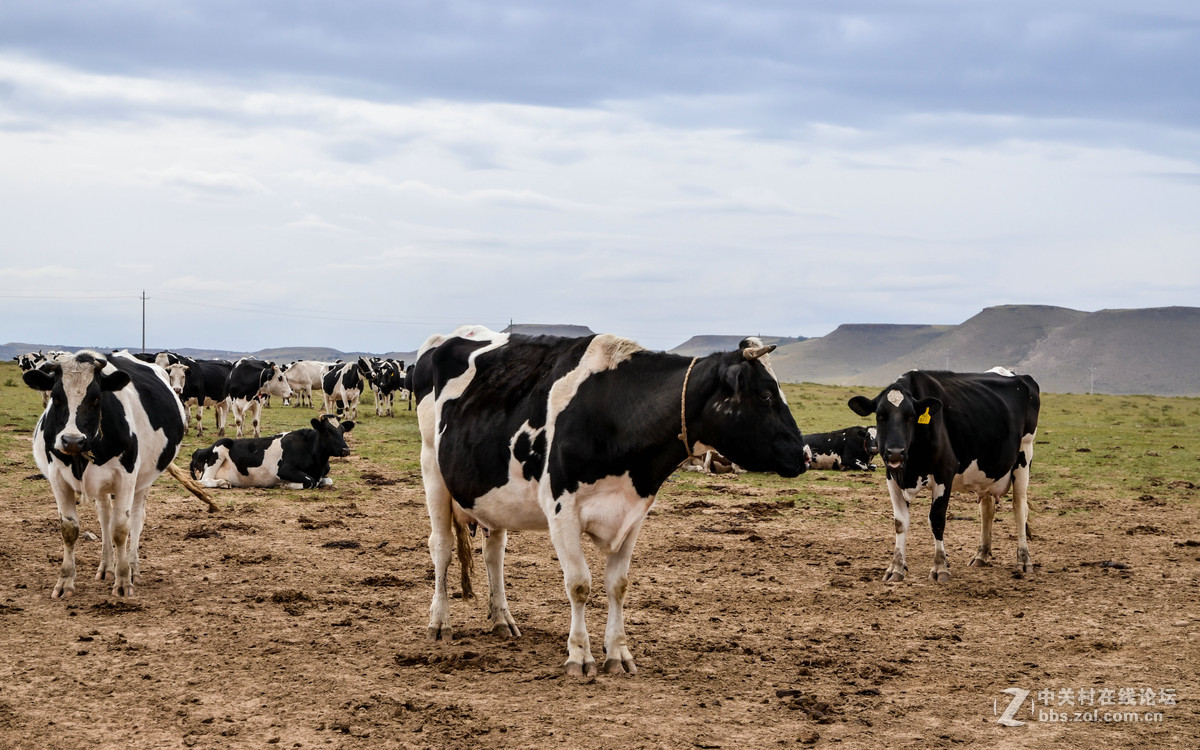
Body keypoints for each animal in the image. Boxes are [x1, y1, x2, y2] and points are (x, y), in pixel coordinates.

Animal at [23, 350, 216, 597]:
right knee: (105, 517)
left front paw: (123, 580)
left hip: (143, 481)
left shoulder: (126, 478)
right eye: (56, 398)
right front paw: (65, 582)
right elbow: (70, 529)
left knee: (135, 518)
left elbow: (120, 530)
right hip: (102, 487)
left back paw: (133, 568)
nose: (72, 440)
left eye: (96, 398)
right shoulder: (58, 479)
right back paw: (106, 567)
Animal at [189, 412, 352, 489]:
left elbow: (328, 481)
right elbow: (311, 481)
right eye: (328, 432)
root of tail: (200, 450)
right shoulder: (284, 469)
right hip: (220, 447)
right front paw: (284, 485)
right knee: (204, 481)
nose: (346, 450)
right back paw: (222, 483)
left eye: (343, 431)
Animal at [412, 324, 806, 676]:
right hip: (432, 467)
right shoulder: (562, 510)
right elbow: (579, 584)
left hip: (491, 496)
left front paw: (618, 653)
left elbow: (618, 585)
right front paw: (580, 655)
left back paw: (502, 619)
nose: (803, 455)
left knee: (494, 554)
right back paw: (440, 622)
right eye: (766, 396)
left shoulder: (634, 512)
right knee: (441, 546)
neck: (616, 411)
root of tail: (447, 337)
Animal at [844, 364, 1041, 583]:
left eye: (911, 416)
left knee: (1019, 508)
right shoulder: (892, 477)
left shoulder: (944, 473)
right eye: (880, 415)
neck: (911, 466)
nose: (895, 452)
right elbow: (900, 523)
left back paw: (1024, 560)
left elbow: (937, 520)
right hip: (987, 473)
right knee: (987, 509)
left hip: (1024, 455)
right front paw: (896, 567)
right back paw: (981, 555)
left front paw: (940, 567)